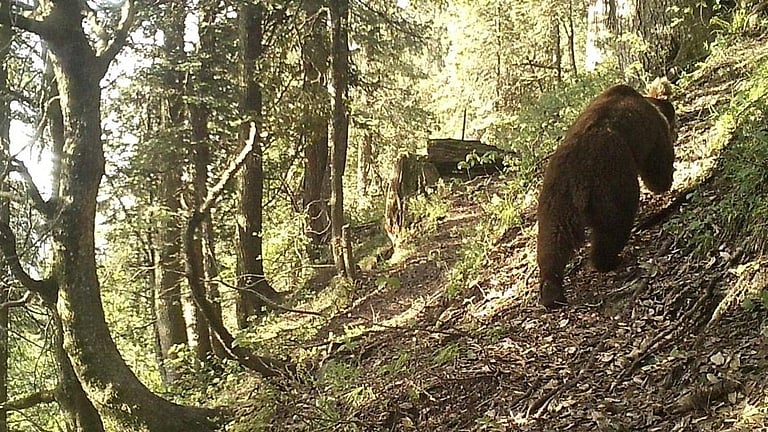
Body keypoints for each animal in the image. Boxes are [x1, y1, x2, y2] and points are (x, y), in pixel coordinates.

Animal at [536, 78, 676, 309]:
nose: (676, 129)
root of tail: (576, 177)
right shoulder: (652, 133)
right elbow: (657, 166)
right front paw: (667, 180)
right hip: (610, 182)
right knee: (615, 224)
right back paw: (609, 260)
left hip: (555, 200)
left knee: (552, 240)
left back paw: (551, 292)